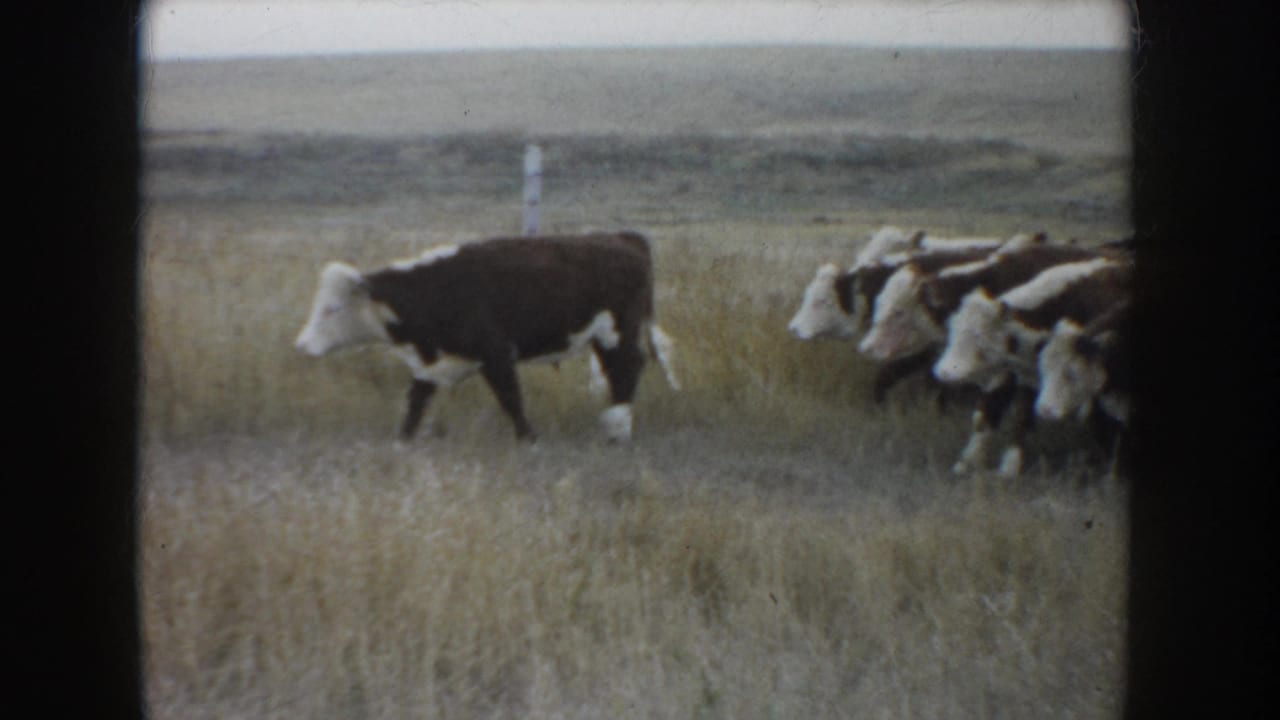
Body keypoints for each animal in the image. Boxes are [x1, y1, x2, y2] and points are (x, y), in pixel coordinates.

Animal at [294, 231, 680, 443]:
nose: (302, 346)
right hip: (601, 339)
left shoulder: (496, 355)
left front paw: (529, 438)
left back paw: (618, 428)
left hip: (618, 333)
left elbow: (511, 399)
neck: (434, 290)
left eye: (331, 308)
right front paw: (402, 442)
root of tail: (624, 238)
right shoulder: (431, 364)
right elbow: (415, 404)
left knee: (628, 369)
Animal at [931, 258, 1132, 475]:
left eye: (977, 336)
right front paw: (971, 461)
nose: (943, 371)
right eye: (952, 330)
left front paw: (1008, 467)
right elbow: (994, 411)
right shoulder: (1023, 376)